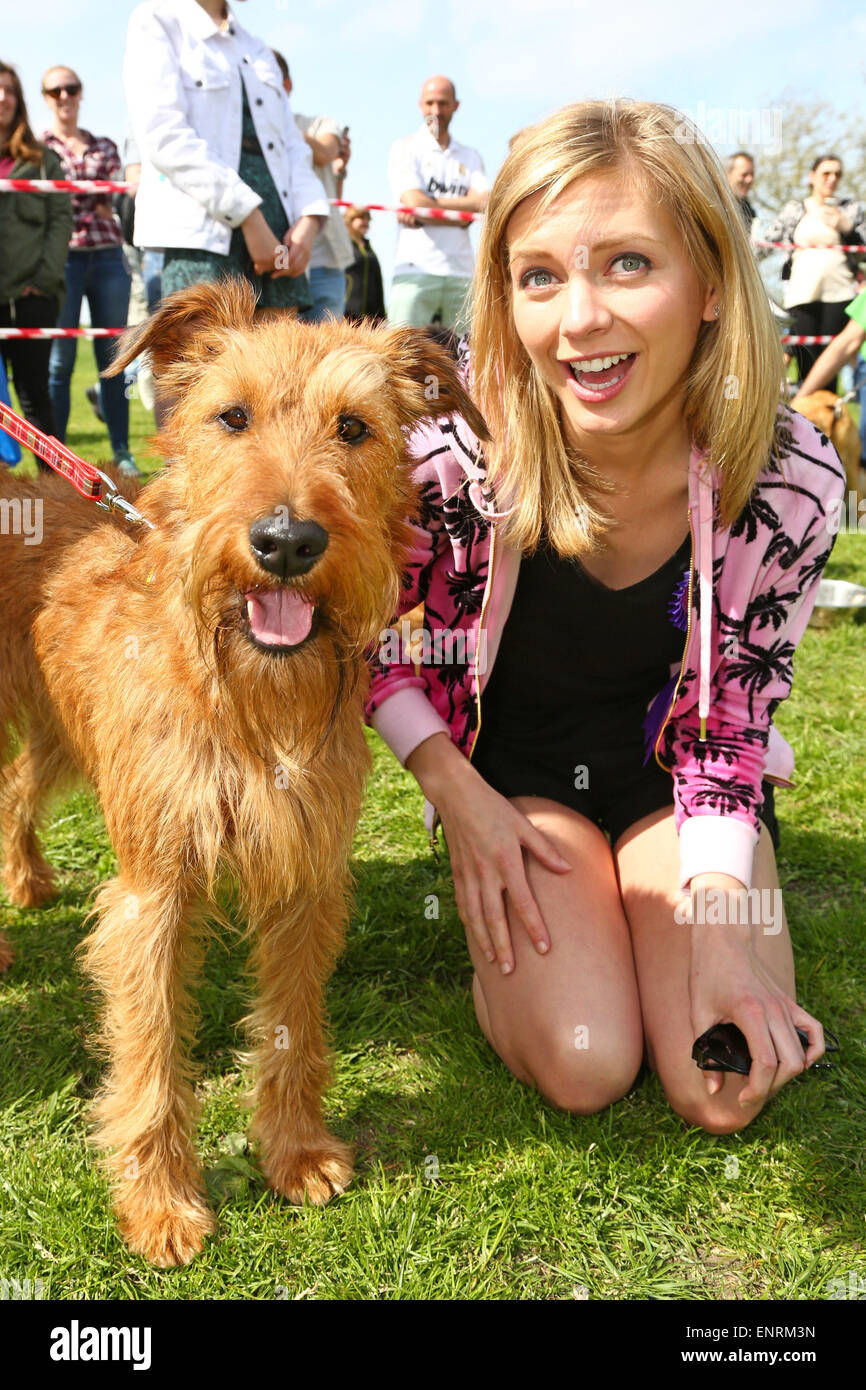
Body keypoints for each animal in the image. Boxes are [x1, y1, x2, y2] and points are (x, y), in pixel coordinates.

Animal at [0, 276, 489, 1267]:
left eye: (355, 428)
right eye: (232, 416)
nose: (287, 541)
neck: (245, 701)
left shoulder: (306, 871)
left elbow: (292, 1023)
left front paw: (293, 1154)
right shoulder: (153, 890)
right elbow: (151, 1053)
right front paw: (160, 1205)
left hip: (66, 737)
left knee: (19, 786)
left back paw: (26, 881)